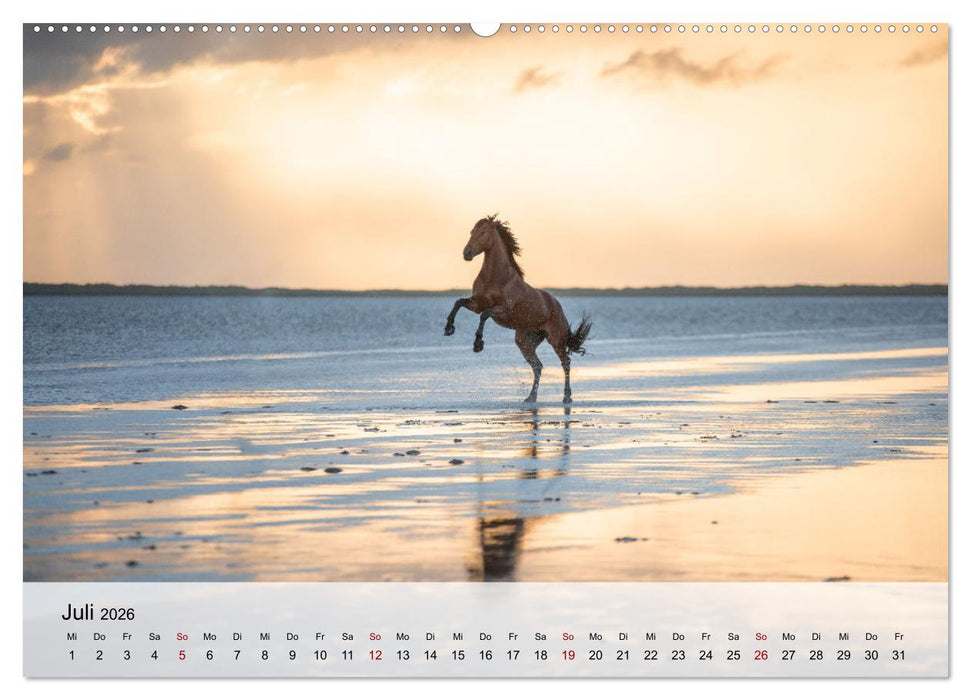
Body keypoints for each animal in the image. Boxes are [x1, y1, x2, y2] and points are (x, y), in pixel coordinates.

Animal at [444, 215, 592, 403]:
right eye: (471, 232)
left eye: (483, 232)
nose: (467, 253)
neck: (495, 277)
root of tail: (557, 306)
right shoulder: (477, 303)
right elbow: (459, 303)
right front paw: (449, 328)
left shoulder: (503, 309)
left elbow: (484, 315)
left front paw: (478, 344)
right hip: (524, 341)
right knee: (538, 366)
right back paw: (531, 397)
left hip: (555, 340)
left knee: (565, 363)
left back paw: (566, 396)